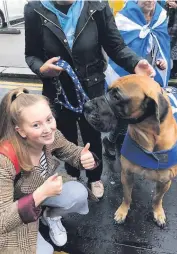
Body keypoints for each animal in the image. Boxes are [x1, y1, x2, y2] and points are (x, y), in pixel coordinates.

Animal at [83, 74, 177, 227]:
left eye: (116, 97)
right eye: (107, 90)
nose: (86, 105)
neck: (148, 137)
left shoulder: (165, 182)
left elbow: (157, 198)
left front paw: (158, 212)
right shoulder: (126, 174)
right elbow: (127, 196)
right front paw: (123, 211)